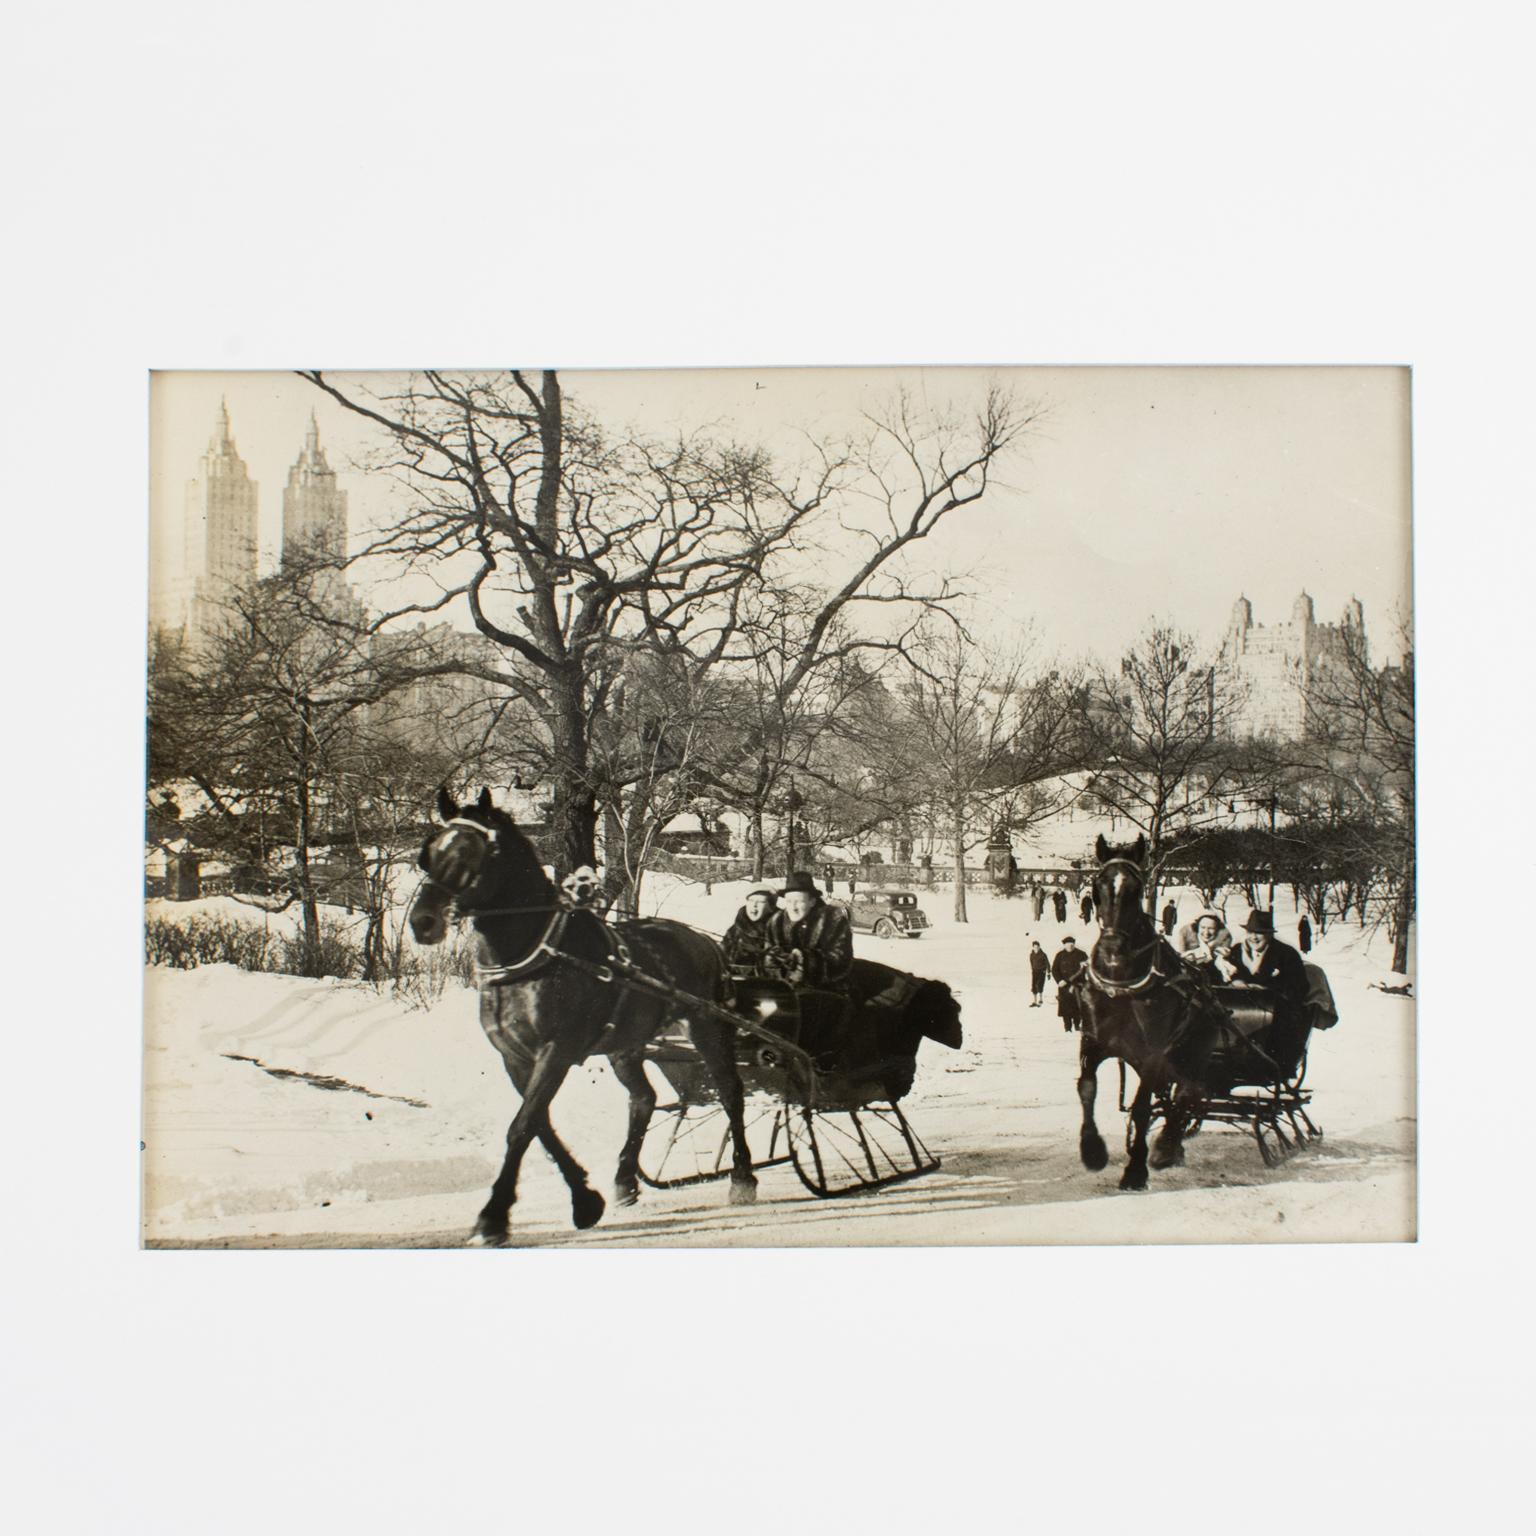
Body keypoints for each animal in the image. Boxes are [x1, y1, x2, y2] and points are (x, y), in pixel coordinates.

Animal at [408, 792, 755, 1247]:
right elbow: (540, 1126)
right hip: (627, 1045)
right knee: (643, 1099)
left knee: (731, 1093)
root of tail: (705, 942)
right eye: (428, 851)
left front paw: (494, 1215)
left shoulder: (557, 1050)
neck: (536, 952)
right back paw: (625, 1179)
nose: (422, 922)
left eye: (469, 851)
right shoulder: (515, 1058)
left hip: (708, 1029)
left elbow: (523, 1127)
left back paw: (743, 1176)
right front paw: (586, 1199)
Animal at [1075, 841, 1228, 1185]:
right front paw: (1093, 1151)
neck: (1122, 986)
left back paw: (1165, 1147)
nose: (1111, 948)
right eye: (1097, 886)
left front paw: (1135, 1169)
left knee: (1190, 1094)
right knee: (1176, 1098)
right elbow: (1087, 1088)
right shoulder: (1093, 1042)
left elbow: (1142, 1107)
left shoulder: (1153, 1055)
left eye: (1136, 889)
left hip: (1191, 1055)